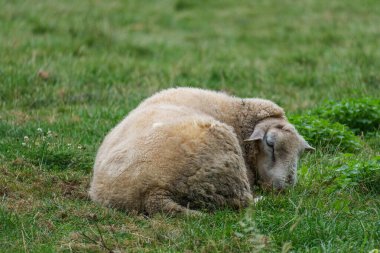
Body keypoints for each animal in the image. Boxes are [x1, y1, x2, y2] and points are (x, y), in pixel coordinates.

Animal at [88, 87, 312, 215]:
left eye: (299, 153)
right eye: (270, 144)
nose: (284, 188)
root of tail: (152, 194)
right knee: (241, 202)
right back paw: (259, 200)